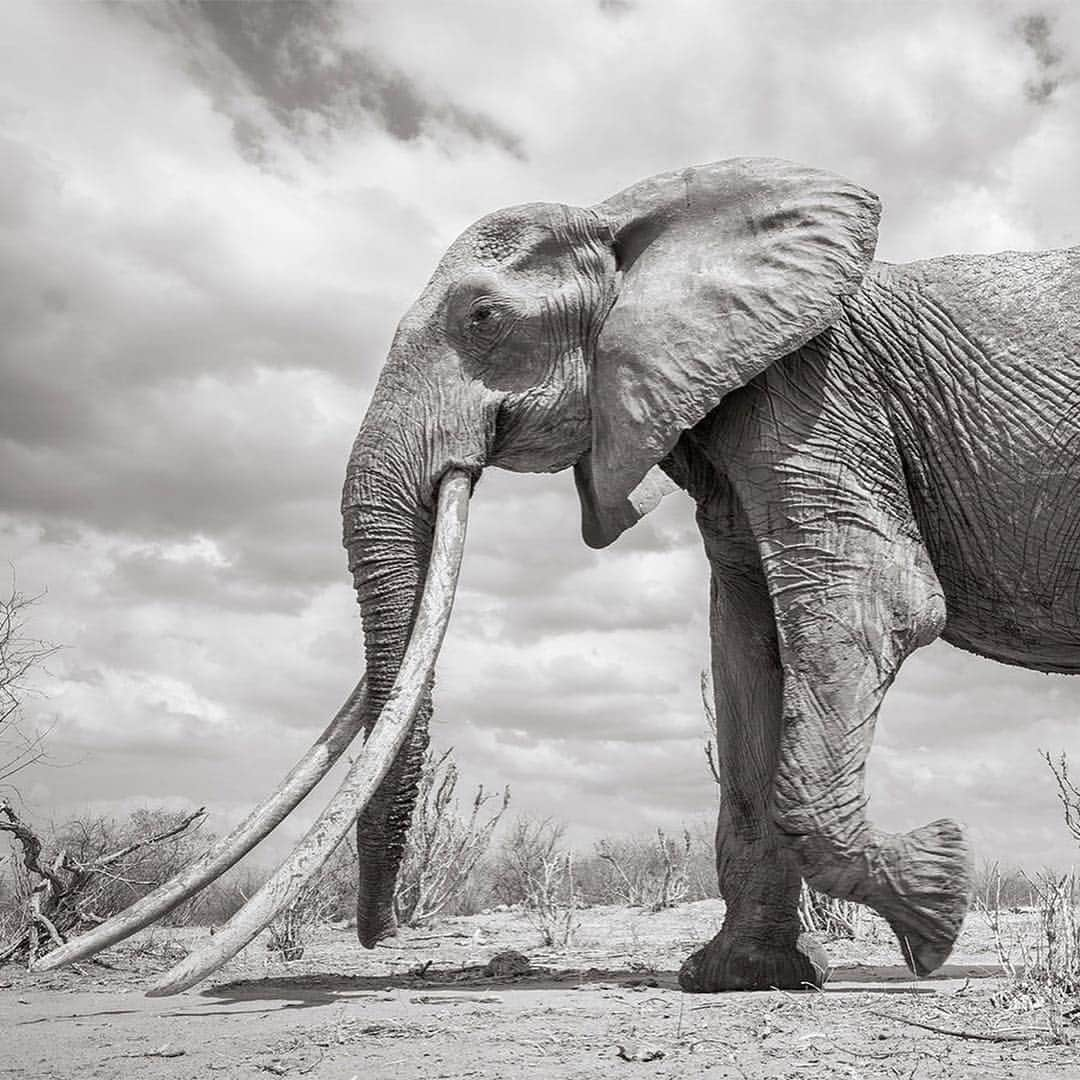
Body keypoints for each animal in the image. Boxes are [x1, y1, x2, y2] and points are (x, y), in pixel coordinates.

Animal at [39, 156, 1080, 989]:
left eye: (482, 317)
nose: (381, 937)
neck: (629, 222)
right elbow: (747, 650)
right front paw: (732, 980)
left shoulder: (816, 388)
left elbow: (876, 602)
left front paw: (938, 909)